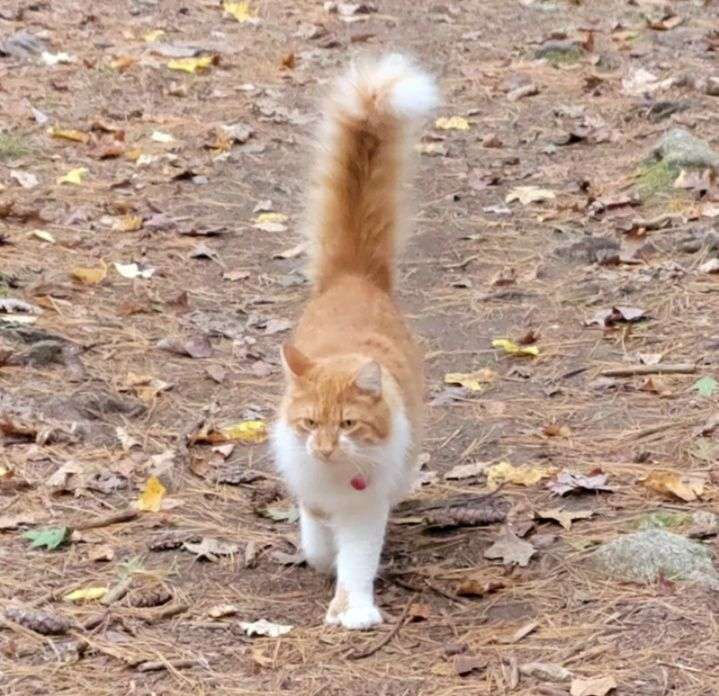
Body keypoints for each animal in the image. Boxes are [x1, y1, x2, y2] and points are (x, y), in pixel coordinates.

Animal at [272, 54, 436, 632]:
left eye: (346, 425)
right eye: (309, 424)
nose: (323, 448)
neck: (338, 476)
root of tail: (354, 278)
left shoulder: (367, 509)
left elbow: (358, 560)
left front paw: (354, 610)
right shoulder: (311, 491)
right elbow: (318, 539)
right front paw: (323, 561)